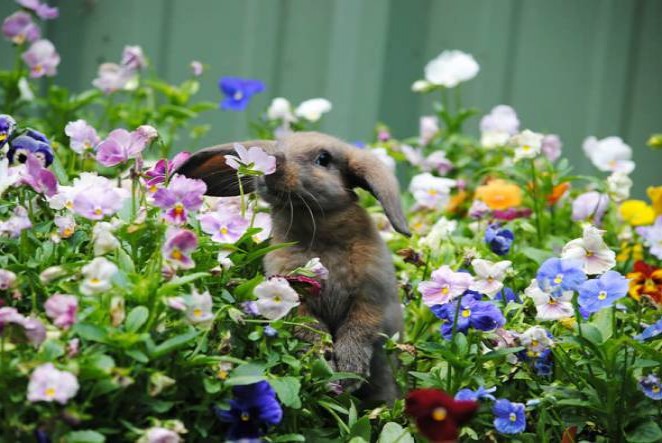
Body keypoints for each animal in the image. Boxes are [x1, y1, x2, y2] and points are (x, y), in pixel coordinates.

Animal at [175, 132, 410, 406]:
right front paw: (326, 366)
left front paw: (349, 371)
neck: (317, 231)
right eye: (276, 147)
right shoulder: (296, 299)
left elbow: (359, 329)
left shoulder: (371, 296)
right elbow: (311, 330)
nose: (273, 162)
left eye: (324, 158)